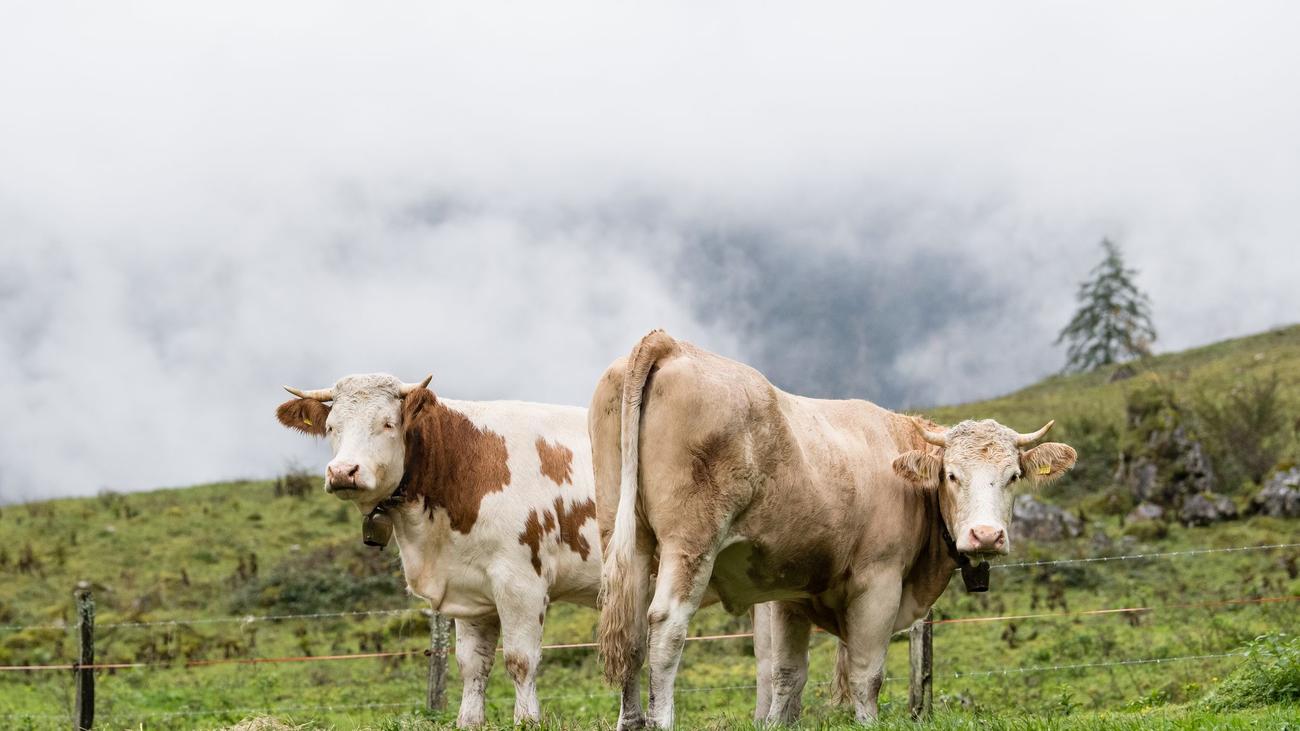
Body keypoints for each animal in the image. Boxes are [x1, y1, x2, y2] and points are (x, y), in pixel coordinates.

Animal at [275, 373, 642, 728]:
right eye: (331, 427)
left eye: (388, 423)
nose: (342, 472)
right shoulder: (470, 589)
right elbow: (472, 664)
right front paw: (469, 720)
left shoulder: (521, 583)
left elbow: (521, 660)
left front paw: (527, 720)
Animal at [591, 331, 1077, 727]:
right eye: (951, 475)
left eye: (1013, 475)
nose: (986, 536)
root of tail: (671, 344)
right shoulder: (879, 582)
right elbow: (866, 675)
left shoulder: (788, 591)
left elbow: (787, 676)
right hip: (690, 541)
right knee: (666, 625)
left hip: (626, 538)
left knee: (630, 630)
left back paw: (631, 721)